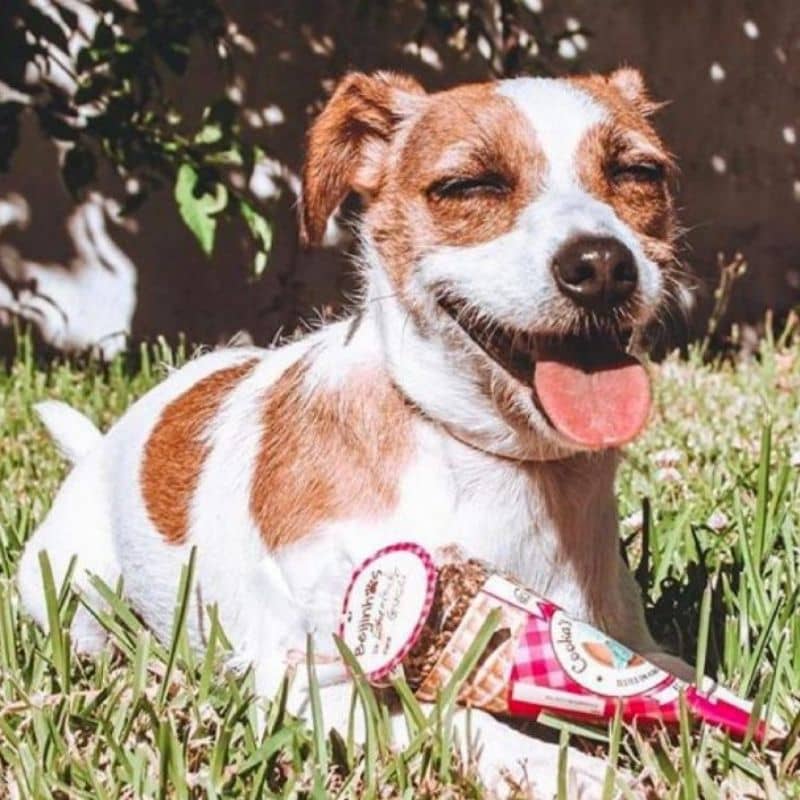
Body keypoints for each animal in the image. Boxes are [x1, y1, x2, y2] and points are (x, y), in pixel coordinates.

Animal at [17, 67, 688, 792]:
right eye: (468, 185)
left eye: (640, 172)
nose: (602, 265)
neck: (500, 469)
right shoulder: (310, 680)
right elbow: (456, 720)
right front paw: (568, 771)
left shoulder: (635, 648)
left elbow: (686, 684)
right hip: (75, 599)